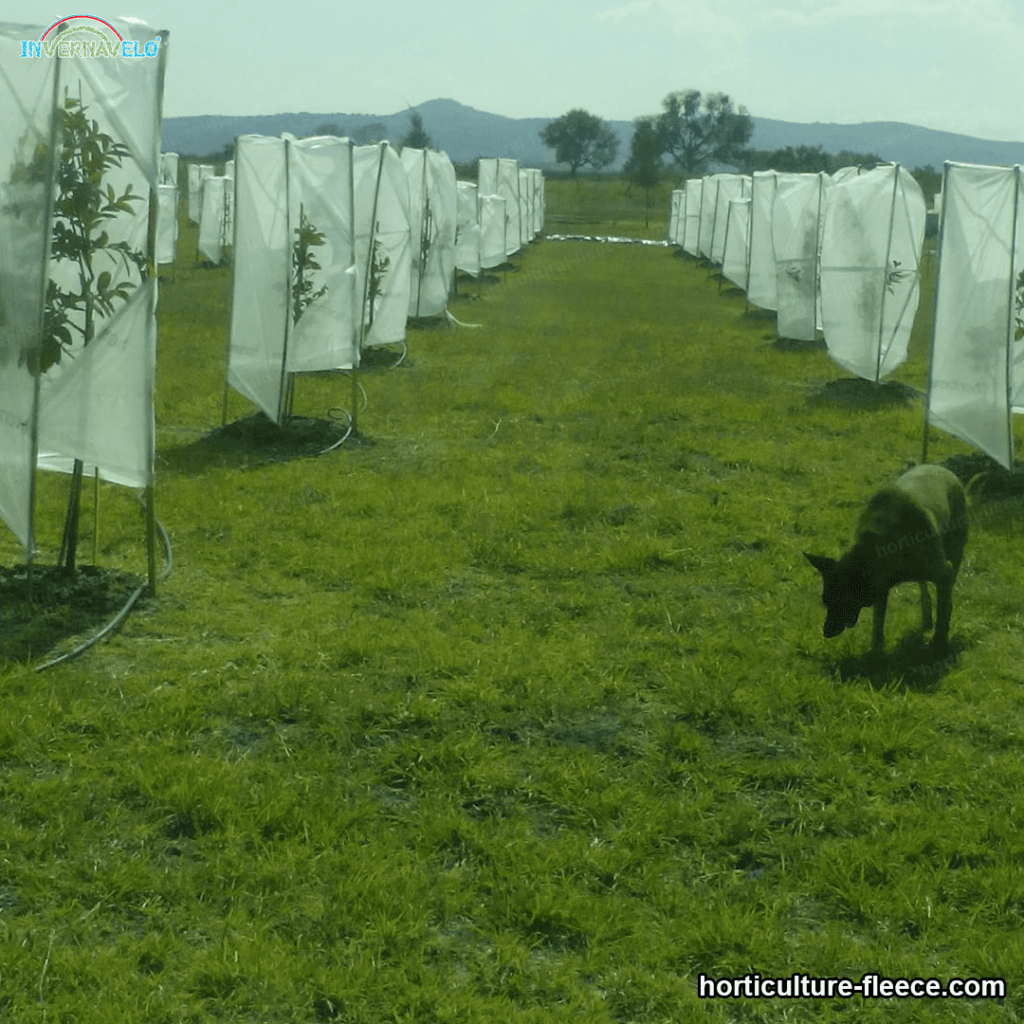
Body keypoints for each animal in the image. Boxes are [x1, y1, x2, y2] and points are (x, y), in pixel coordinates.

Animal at [806, 462, 966, 647]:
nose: (826, 632)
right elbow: (878, 622)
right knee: (924, 590)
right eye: (825, 601)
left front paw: (939, 642)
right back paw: (927, 620)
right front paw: (876, 649)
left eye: (844, 601)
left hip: (955, 554)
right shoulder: (881, 587)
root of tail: (939, 467)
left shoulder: (944, 572)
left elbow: (943, 608)